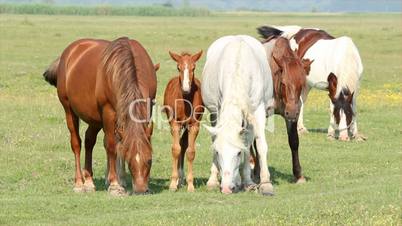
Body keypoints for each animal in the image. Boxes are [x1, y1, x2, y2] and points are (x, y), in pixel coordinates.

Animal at [43, 36, 157, 194]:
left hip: (95, 119)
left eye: (149, 160)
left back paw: (89, 181)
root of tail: (69, 52)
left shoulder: (148, 107)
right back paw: (79, 183)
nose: (140, 189)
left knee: (89, 140)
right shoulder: (109, 112)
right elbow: (111, 146)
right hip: (70, 110)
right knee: (76, 143)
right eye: (128, 159)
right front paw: (115, 184)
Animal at [163, 50, 204, 192]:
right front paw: (172, 184)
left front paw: (190, 185)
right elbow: (176, 149)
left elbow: (190, 152)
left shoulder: (194, 125)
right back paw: (178, 181)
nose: (186, 88)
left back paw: (181, 179)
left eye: (194, 68)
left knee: (183, 144)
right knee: (179, 145)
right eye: (178, 67)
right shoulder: (175, 123)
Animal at [203, 34, 274, 195]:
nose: (226, 188)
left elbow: (258, 145)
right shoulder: (219, 110)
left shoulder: (257, 111)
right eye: (218, 152)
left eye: (238, 153)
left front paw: (263, 183)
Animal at [256, 27, 316, 184]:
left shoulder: (290, 114)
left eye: (302, 83)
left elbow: (294, 141)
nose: (292, 112)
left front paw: (298, 174)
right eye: (284, 83)